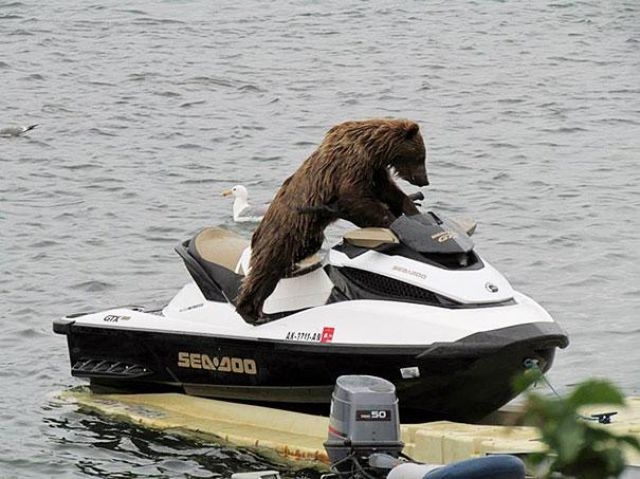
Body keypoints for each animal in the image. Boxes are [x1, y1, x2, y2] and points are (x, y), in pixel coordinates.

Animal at [235, 118, 430, 324]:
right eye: (421, 157)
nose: (424, 180)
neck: (372, 148)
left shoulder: (374, 170)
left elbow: (388, 190)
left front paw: (411, 208)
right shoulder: (350, 165)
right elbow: (355, 198)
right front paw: (391, 221)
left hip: (306, 237)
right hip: (281, 235)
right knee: (265, 271)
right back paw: (250, 312)